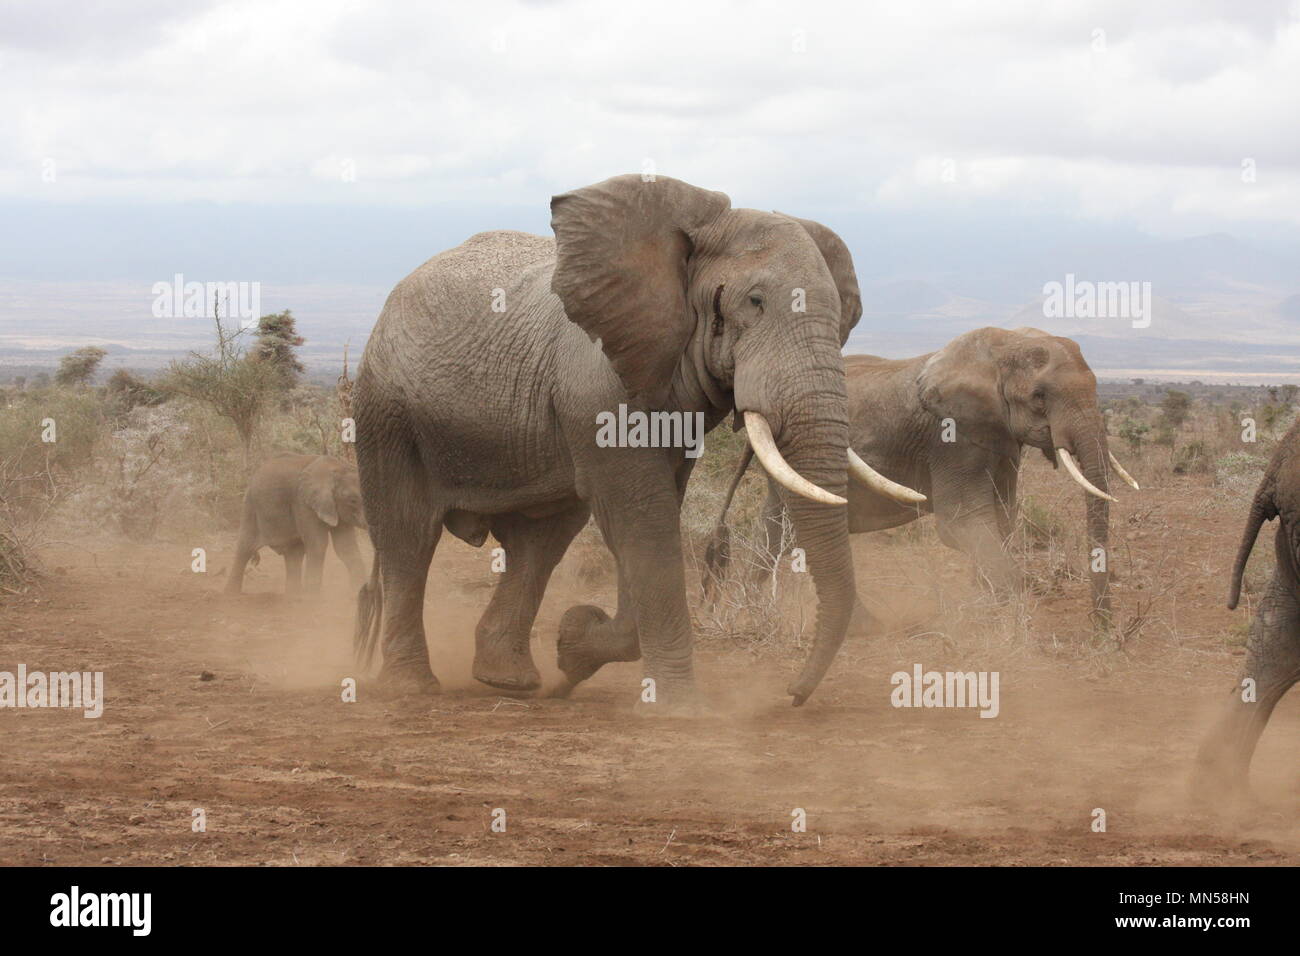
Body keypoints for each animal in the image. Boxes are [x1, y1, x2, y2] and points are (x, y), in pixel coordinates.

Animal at [226, 455, 369, 595]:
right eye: (353, 500)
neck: (335, 468)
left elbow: (345, 547)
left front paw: (355, 595)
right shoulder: (303, 503)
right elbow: (318, 545)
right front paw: (314, 598)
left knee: (294, 554)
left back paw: (293, 597)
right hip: (250, 507)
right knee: (245, 548)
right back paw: (230, 595)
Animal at [351, 175, 920, 707]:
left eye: (844, 317)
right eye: (755, 302)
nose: (791, 694)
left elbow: (650, 512)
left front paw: (574, 644)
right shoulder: (596, 381)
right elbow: (641, 514)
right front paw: (683, 708)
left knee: (540, 541)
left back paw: (509, 681)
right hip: (387, 408)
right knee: (406, 532)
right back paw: (412, 687)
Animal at [702, 327, 1138, 629]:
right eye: (1039, 397)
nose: (1102, 629)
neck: (1003, 343)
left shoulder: (1000, 439)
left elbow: (1002, 519)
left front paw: (985, 608)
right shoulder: (951, 436)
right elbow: (961, 523)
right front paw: (1002, 623)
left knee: (776, 528)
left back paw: (755, 613)